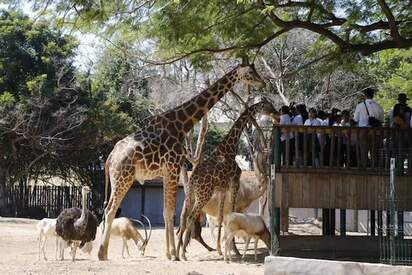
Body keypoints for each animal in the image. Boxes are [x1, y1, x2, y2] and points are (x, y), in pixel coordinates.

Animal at [175, 99, 276, 260]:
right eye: (267, 106)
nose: (276, 112)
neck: (229, 149)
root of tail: (193, 180)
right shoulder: (234, 183)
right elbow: (232, 215)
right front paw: (234, 251)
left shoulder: (223, 189)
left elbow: (222, 217)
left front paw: (221, 250)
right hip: (204, 195)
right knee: (190, 219)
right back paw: (183, 253)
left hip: (191, 197)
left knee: (183, 221)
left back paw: (178, 253)